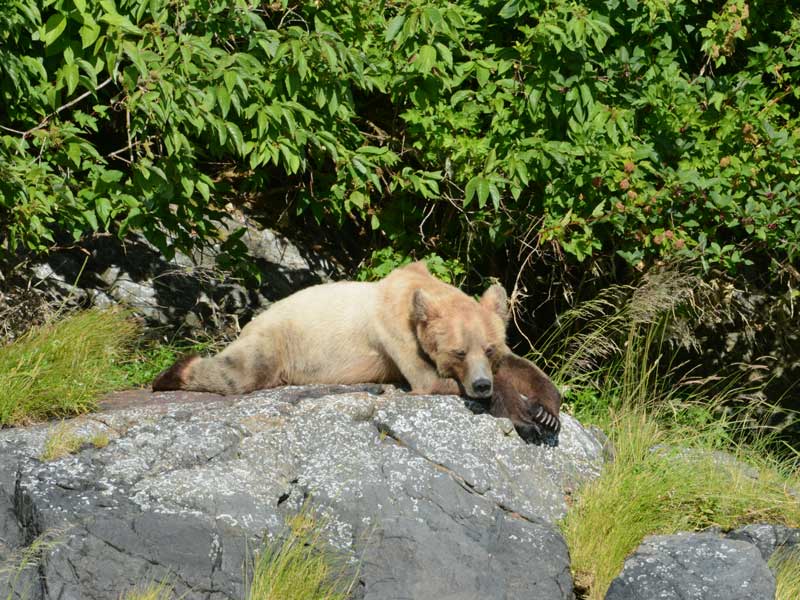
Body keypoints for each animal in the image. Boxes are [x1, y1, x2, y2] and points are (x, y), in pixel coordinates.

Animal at [153, 260, 560, 434]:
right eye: (458, 352)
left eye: (489, 349)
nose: (481, 385)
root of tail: (254, 318)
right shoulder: (394, 332)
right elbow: (428, 380)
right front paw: (523, 412)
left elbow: (523, 367)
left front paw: (547, 411)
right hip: (279, 340)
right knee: (241, 371)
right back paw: (170, 373)